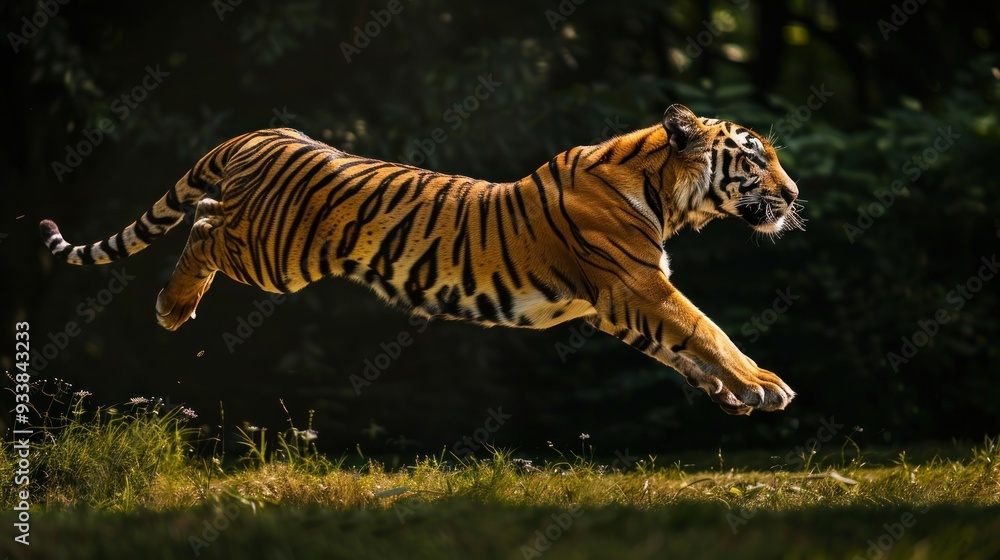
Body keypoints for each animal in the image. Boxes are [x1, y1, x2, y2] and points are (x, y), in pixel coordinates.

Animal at [40, 103, 803, 415]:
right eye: (757, 157)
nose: (797, 195)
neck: (669, 194)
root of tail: (264, 131)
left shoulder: (621, 302)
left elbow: (683, 350)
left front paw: (738, 395)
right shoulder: (636, 284)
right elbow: (707, 330)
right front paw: (766, 382)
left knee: (202, 213)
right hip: (272, 255)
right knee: (203, 224)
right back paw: (173, 308)